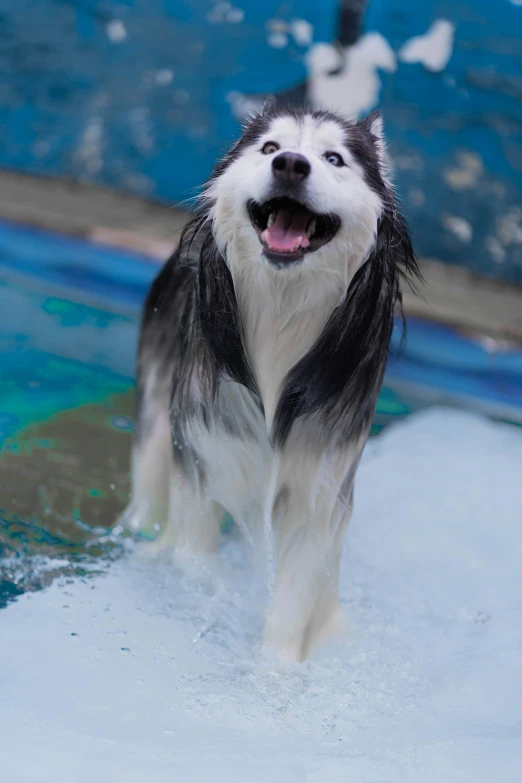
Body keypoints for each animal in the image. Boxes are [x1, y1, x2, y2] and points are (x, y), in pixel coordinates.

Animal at [127, 105, 418, 660]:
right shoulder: (206, 454)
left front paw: (273, 675)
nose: (290, 165)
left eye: (334, 158)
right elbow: (194, 555)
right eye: (269, 148)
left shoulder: (318, 483)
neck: (281, 319)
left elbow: (293, 598)